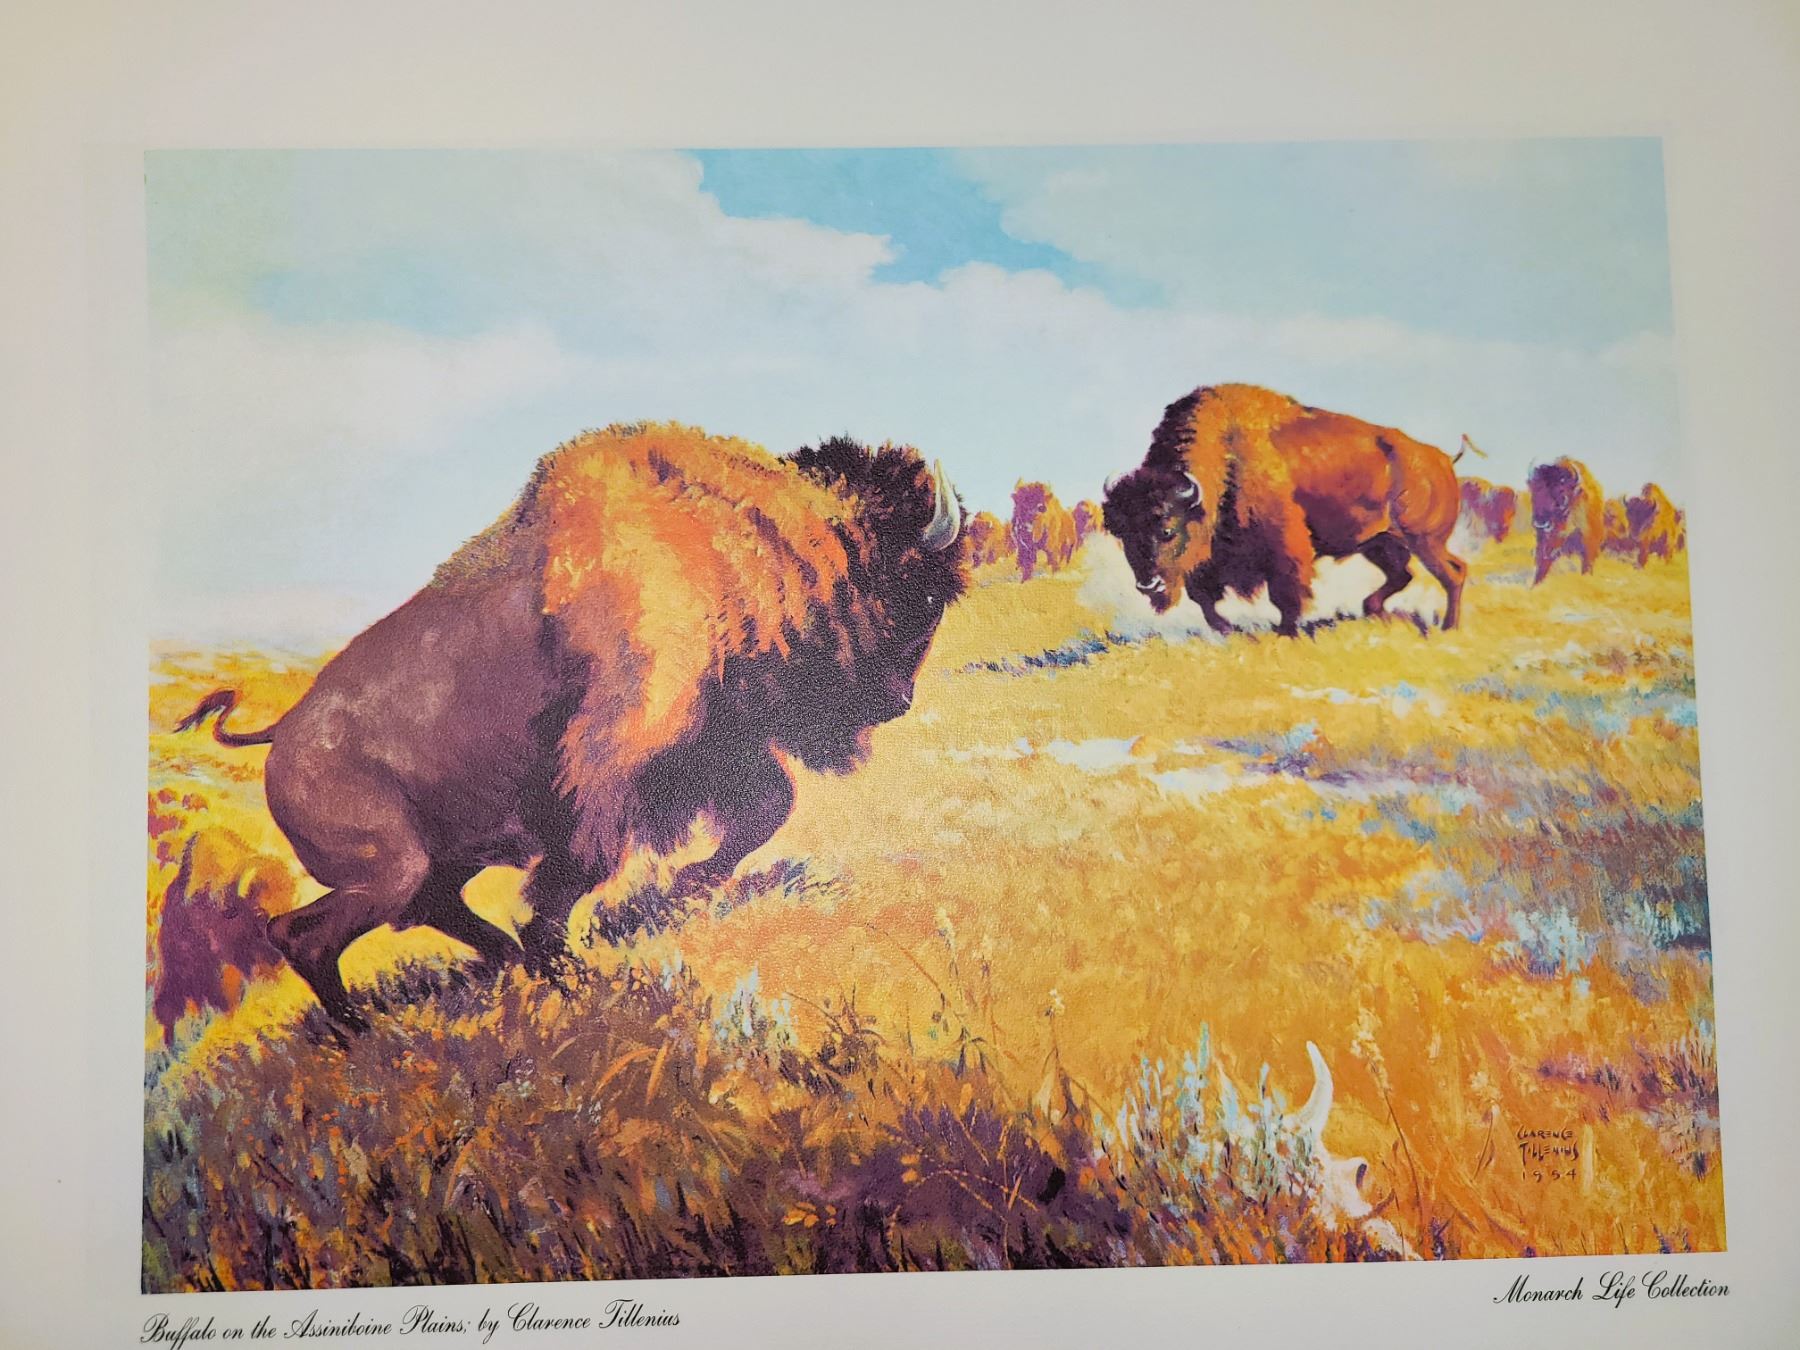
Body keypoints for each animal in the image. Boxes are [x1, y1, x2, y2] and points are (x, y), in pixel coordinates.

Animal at [178, 423, 967, 1026]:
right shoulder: (616, 769)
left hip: (441, 854)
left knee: (426, 906)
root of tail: (281, 734)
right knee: (306, 934)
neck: (721, 545)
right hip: (387, 870)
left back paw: (491, 967)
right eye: (925, 590)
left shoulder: (717, 748)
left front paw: (682, 888)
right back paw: (364, 1032)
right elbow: (571, 876)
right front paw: (571, 963)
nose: (898, 700)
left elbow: (768, 809)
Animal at [1103, 383, 1467, 635]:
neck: (1227, 458)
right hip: (1379, 542)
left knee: (1452, 574)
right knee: (1405, 574)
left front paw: (1285, 632)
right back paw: (1375, 611)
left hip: (1423, 540)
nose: (1148, 585)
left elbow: (1285, 595)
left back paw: (1447, 629)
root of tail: (1441, 459)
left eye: (1166, 529)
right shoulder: (1206, 563)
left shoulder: (1283, 550)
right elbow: (1204, 600)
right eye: (1122, 535)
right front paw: (1229, 629)